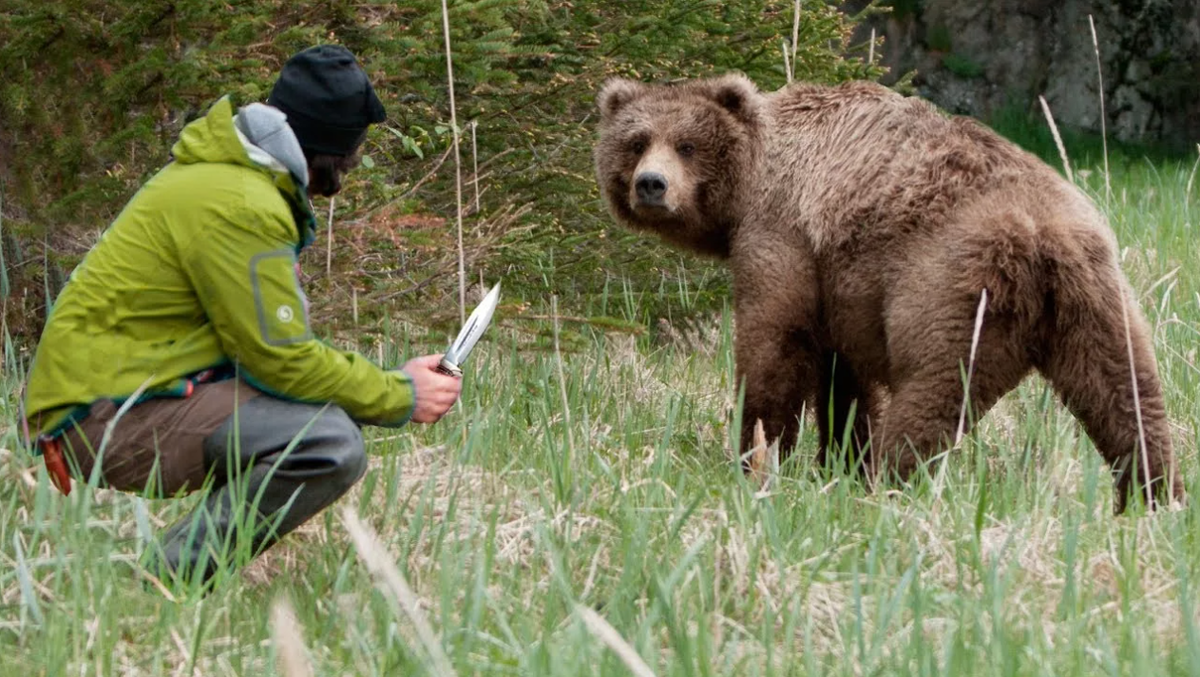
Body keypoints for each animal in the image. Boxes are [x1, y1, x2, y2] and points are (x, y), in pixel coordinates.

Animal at [590, 72, 1180, 513]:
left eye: (687, 145)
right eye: (637, 141)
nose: (651, 185)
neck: (752, 181)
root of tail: (1044, 236)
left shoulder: (782, 234)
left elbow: (775, 345)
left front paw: (757, 456)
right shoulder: (842, 284)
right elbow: (846, 381)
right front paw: (840, 461)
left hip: (951, 287)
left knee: (932, 393)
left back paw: (890, 488)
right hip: (1097, 296)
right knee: (1126, 394)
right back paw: (1153, 497)